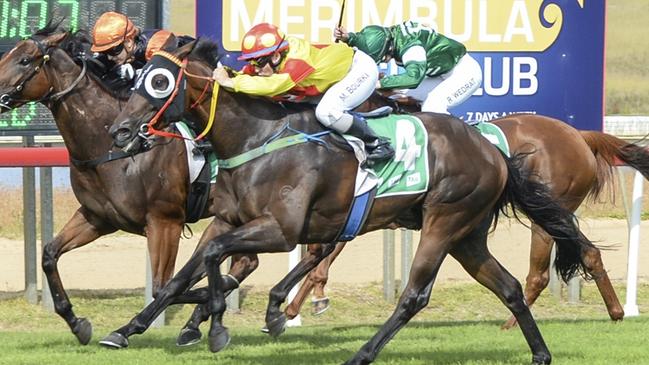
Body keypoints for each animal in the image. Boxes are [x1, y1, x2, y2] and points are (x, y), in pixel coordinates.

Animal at [0, 24, 260, 344]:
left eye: (25, 60)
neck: (114, 149)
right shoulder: (98, 218)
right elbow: (49, 254)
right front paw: (77, 323)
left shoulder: (164, 221)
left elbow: (165, 286)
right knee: (245, 262)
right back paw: (193, 325)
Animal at [107, 38, 596, 362]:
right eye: (137, 78)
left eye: (159, 81)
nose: (120, 131)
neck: (257, 137)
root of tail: (493, 149)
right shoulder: (227, 220)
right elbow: (182, 275)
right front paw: (127, 329)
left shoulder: (281, 230)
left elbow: (214, 259)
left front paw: (217, 325)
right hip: (467, 234)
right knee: (508, 287)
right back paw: (540, 354)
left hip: (445, 220)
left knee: (414, 295)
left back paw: (362, 353)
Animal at [290, 111, 649, 328]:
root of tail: (579, 134)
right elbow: (318, 255)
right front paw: (299, 306)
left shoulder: (362, 209)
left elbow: (320, 259)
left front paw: (297, 307)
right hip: (555, 212)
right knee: (589, 252)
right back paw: (617, 312)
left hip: (547, 213)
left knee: (539, 275)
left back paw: (511, 323)